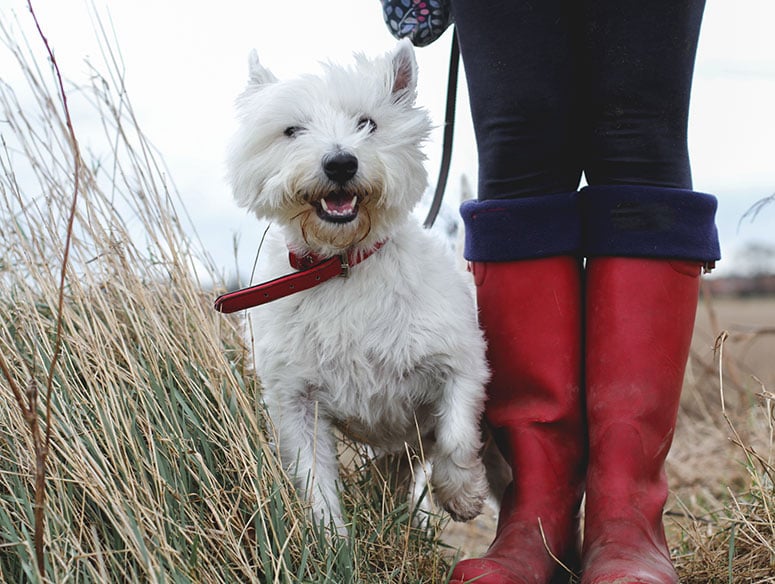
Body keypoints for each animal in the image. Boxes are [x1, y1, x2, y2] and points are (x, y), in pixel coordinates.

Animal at [226, 40, 492, 532]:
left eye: (368, 123)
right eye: (292, 130)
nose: (340, 162)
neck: (342, 264)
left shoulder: (461, 360)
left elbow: (457, 433)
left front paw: (461, 492)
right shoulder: (296, 400)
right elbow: (313, 479)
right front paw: (331, 538)